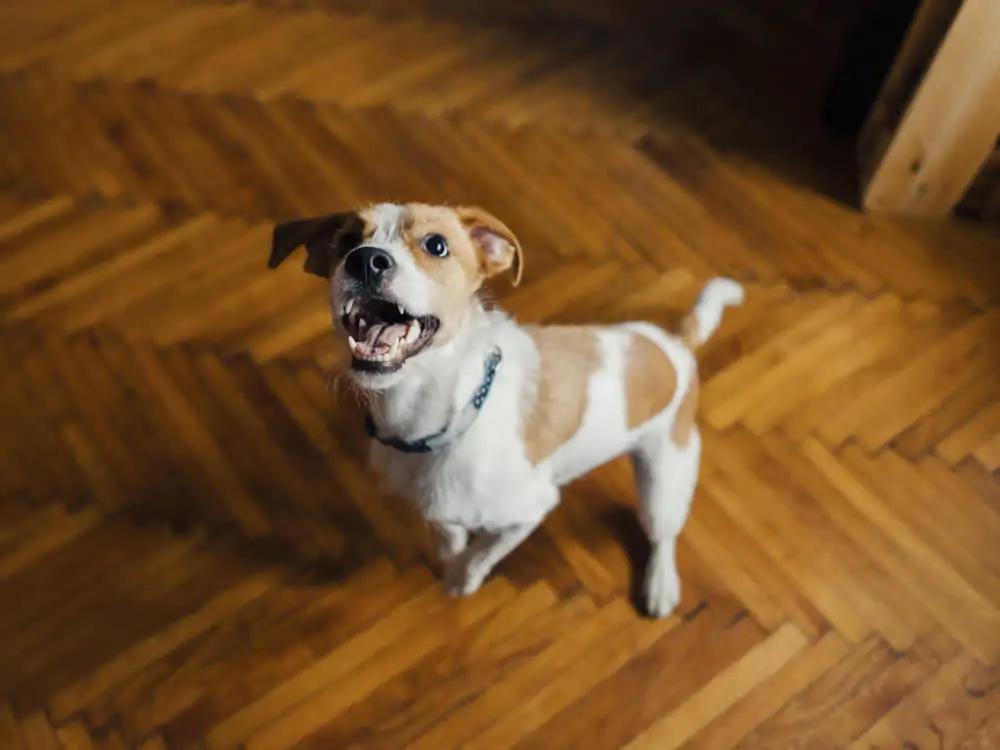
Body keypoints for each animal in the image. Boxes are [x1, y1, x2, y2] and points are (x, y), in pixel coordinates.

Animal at [268, 203, 744, 620]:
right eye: (346, 239)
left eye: (436, 245)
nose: (365, 261)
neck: (447, 411)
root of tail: (677, 344)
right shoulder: (439, 500)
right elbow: (450, 532)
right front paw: (450, 549)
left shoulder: (530, 510)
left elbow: (482, 553)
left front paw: (462, 578)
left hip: (665, 477)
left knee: (664, 535)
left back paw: (661, 584)